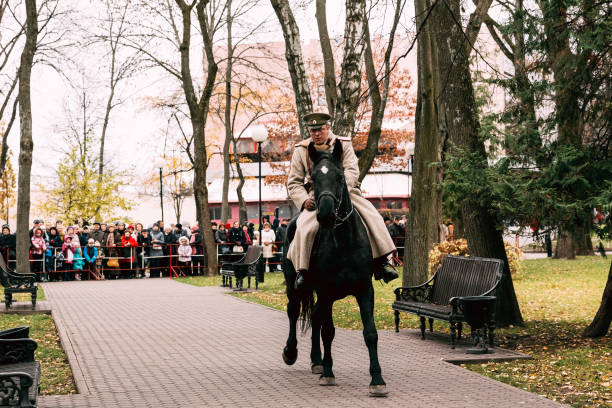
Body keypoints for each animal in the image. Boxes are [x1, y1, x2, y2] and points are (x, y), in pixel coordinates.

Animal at [282, 139, 388, 396]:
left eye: (340, 177)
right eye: (312, 179)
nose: (326, 214)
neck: (344, 241)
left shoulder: (365, 290)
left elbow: (370, 333)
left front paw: (377, 379)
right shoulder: (326, 292)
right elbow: (328, 331)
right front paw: (329, 374)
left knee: (315, 317)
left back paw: (316, 360)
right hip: (295, 287)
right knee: (293, 311)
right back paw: (292, 352)